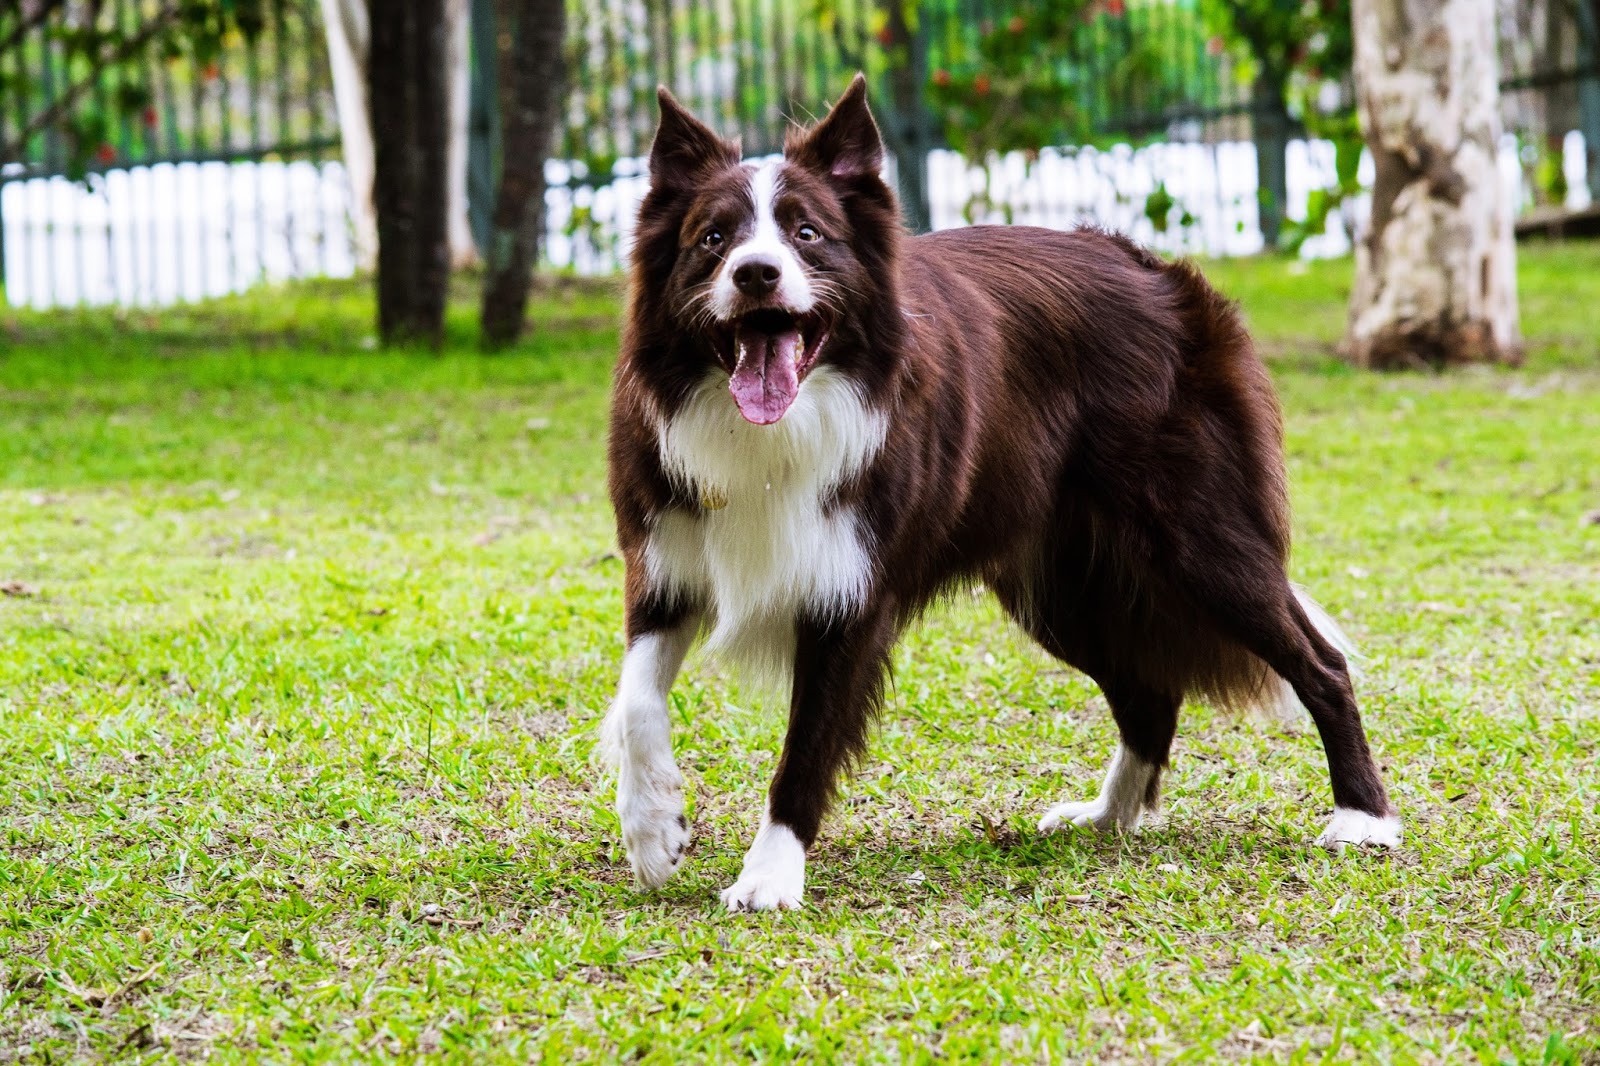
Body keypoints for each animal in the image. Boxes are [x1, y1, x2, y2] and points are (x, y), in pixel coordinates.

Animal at [601, 76, 1401, 902]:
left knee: (1319, 664)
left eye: (807, 233)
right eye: (713, 240)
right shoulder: (664, 561)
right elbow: (634, 700)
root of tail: (1153, 268)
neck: (769, 432)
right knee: (1149, 696)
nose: (756, 272)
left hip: (1200, 540)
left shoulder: (850, 591)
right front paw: (654, 829)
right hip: (1067, 588)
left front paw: (767, 876)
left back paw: (1363, 818)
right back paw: (1107, 816)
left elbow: (805, 749)